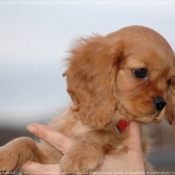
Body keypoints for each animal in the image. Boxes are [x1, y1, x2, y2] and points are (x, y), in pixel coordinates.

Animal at [0, 26, 175, 174]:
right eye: (140, 72)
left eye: (169, 82)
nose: (162, 103)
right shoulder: (48, 157)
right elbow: (26, 140)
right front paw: (7, 153)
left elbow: (102, 133)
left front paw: (80, 152)